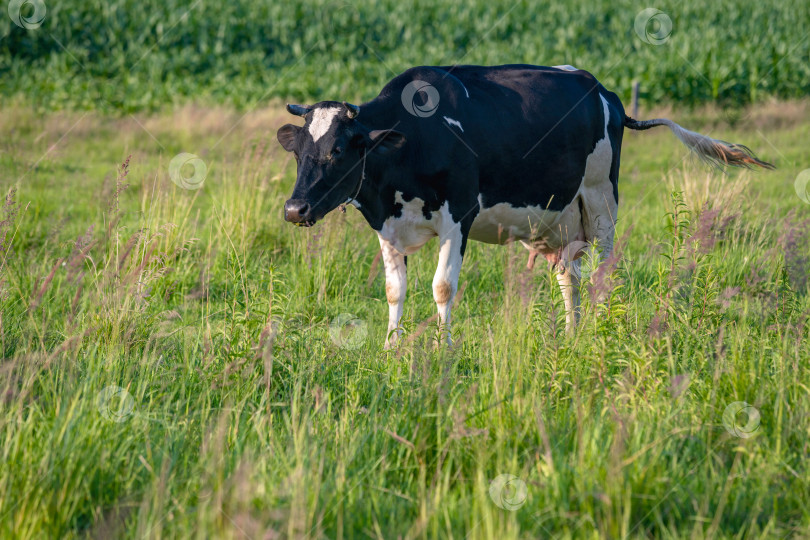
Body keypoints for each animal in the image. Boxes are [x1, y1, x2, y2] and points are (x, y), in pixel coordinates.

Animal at [276, 64, 772, 350]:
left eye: (339, 150)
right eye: (299, 152)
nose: (294, 210)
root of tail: (605, 92)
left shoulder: (458, 216)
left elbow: (442, 287)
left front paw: (443, 349)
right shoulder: (387, 224)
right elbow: (394, 290)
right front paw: (391, 350)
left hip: (601, 197)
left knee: (603, 270)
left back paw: (598, 331)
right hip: (562, 219)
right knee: (569, 276)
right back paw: (571, 334)